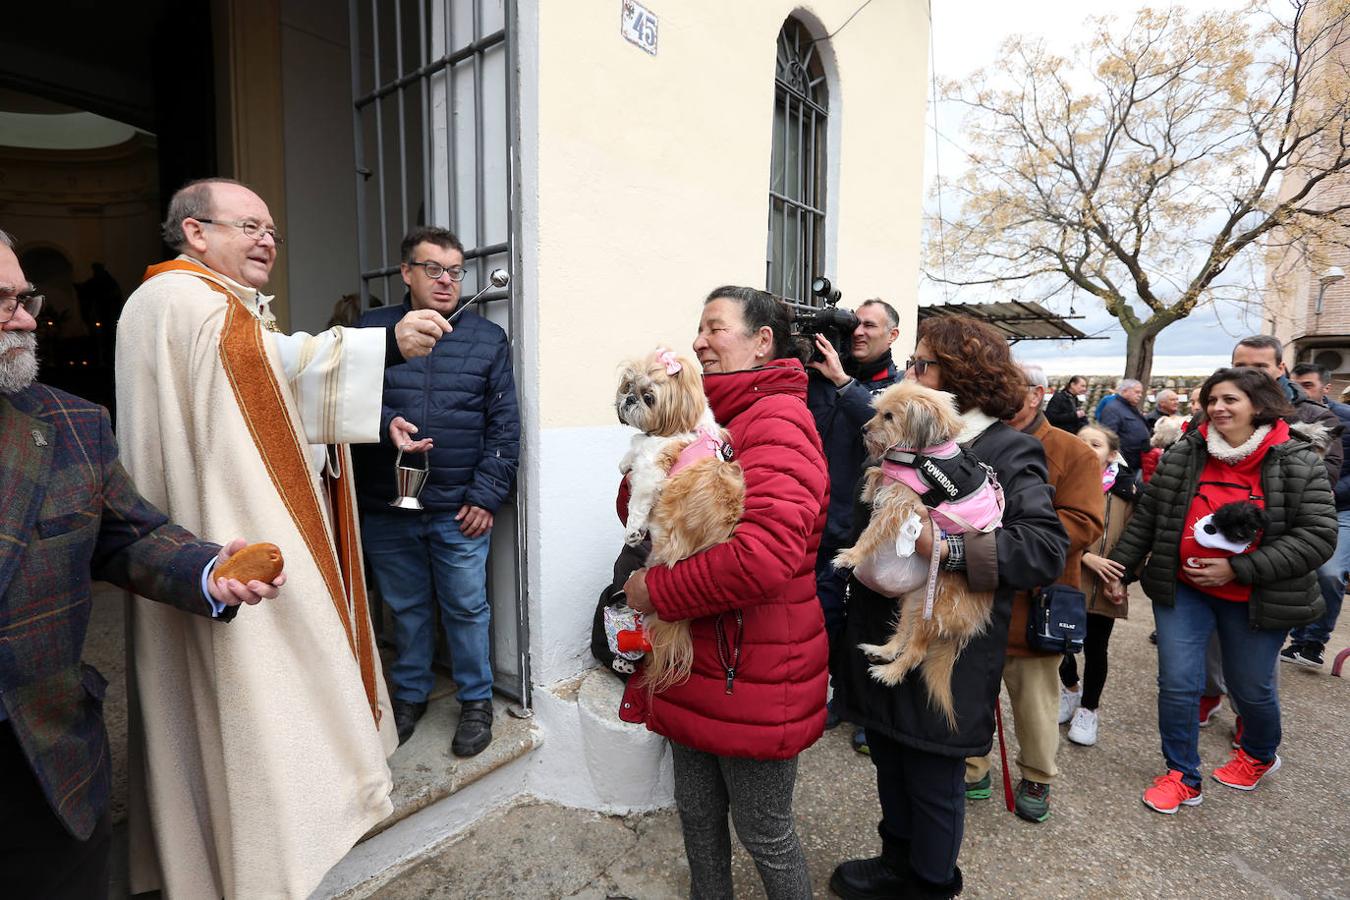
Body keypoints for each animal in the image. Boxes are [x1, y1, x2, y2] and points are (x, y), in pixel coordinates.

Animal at [615, 348, 745, 696]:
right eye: (628, 386)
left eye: (649, 398)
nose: (629, 399)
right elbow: (633, 446)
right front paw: (623, 461)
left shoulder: (652, 469)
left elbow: (638, 497)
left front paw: (633, 531)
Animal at [826, 380, 999, 734]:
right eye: (877, 410)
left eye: (889, 416)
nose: (864, 429)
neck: (925, 453)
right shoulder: (894, 488)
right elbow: (877, 471)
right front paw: (871, 484)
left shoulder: (902, 505)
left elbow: (872, 532)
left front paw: (851, 556)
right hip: (915, 602)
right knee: (903, 634)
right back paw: (882, 650)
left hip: (935, 608)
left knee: (917, 652)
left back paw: (889, 673)